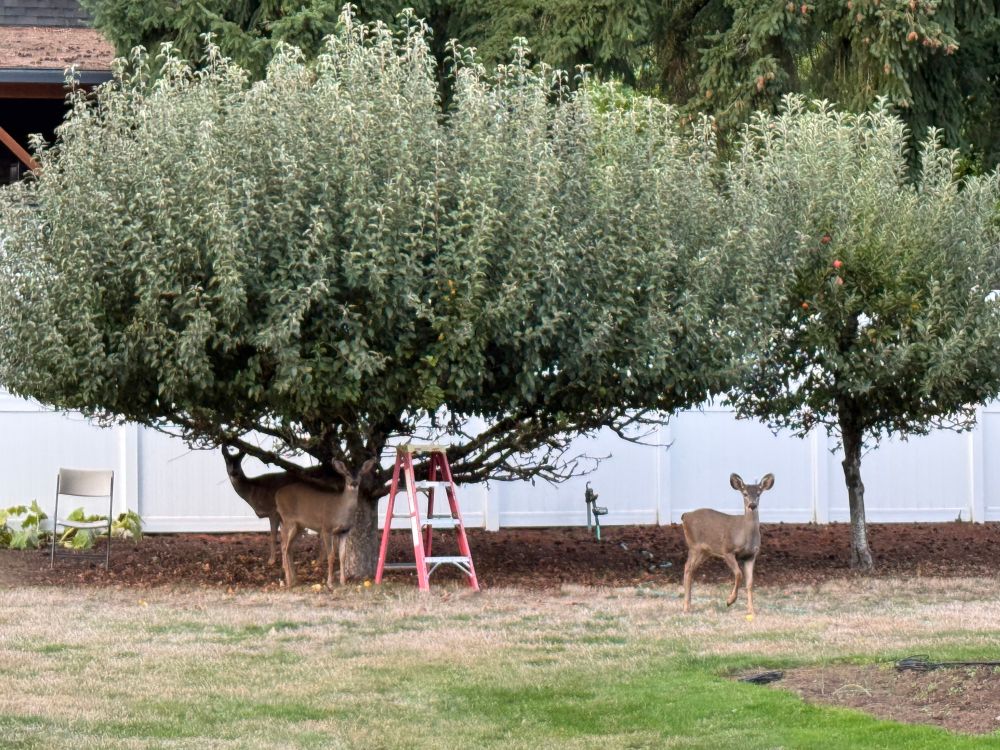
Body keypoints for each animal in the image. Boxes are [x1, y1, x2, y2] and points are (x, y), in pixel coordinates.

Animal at [275, 458, 378, 589]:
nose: (354, 483)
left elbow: (342, 556)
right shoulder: (326, 528)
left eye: (360, 474)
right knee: (284, 547)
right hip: (288, 520)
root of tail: (277, 495)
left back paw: (294, 580)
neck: (341, 509)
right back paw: (288, 582)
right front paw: (330, 583)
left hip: (298, 526)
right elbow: (331, 555)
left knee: (289, 547)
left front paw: (343, 581)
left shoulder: (344, 531)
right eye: (347, 474)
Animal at [681, 473, 774, 616]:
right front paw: (730, 601)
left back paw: (689, 605)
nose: (752, 505)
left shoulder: (751, 555)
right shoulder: (727, 550)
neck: (745, 535)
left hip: (704, 551)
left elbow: (750, 583)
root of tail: (685, 516)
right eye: (745, 493)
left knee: (690, 569)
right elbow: (739, 574)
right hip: (694, 546)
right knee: (687, 568)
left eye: (758, 493)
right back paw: (686, 607)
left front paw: (751, 610)